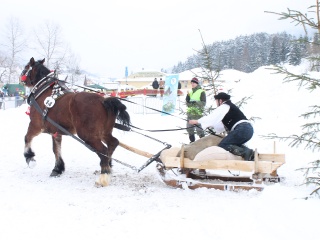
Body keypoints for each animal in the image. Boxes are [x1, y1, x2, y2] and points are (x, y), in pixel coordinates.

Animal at [20, 57, 131, 187]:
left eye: (26, 67)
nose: (20, 77)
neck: (44, 91)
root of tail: (103, 100)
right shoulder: (55, 131)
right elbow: (56, 149)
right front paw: (57, 169)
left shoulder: (36, 125)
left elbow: (27, 137)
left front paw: (30, 158)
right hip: (104, 132)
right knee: (113, 143)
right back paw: (108, 167)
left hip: (88, 135)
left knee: (103, 151)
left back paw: (103, 176)